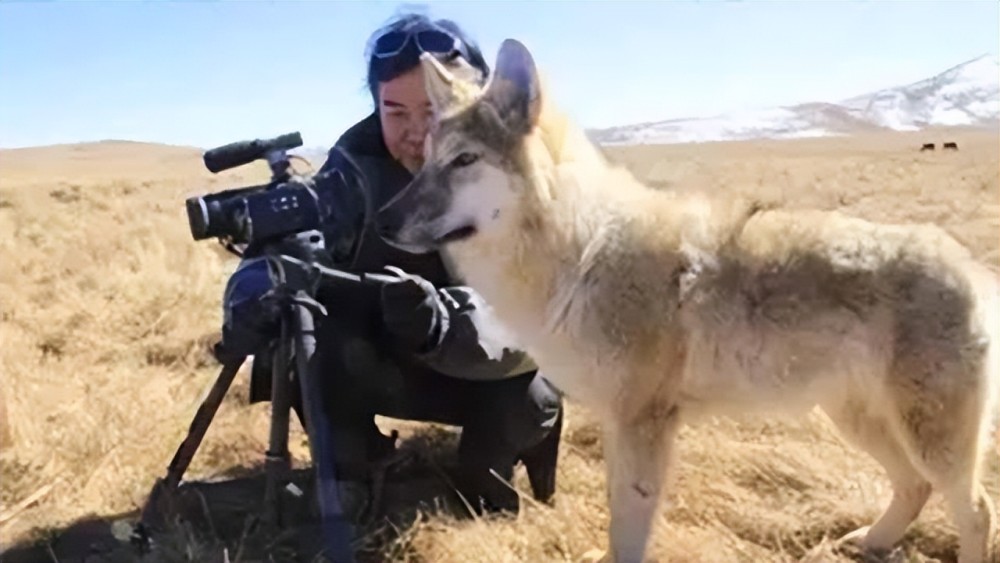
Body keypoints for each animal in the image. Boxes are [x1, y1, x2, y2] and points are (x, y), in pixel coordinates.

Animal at [218, 12, 564, 524]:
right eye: (397, 111)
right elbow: (260, 273)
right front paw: (248, 307)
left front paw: (429, 314)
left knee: (524, 392)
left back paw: (492, 490)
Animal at [376, 38, 1000, 563]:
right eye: (427, 160)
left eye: (463, 161)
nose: (382, 220)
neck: (581, 253)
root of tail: (972, 268)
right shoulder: (619, 423)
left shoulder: (643, 423)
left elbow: (628, 528)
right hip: (859, 421)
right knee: (914, 486)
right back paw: (870, 542)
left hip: (926, 437)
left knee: (976, 510)